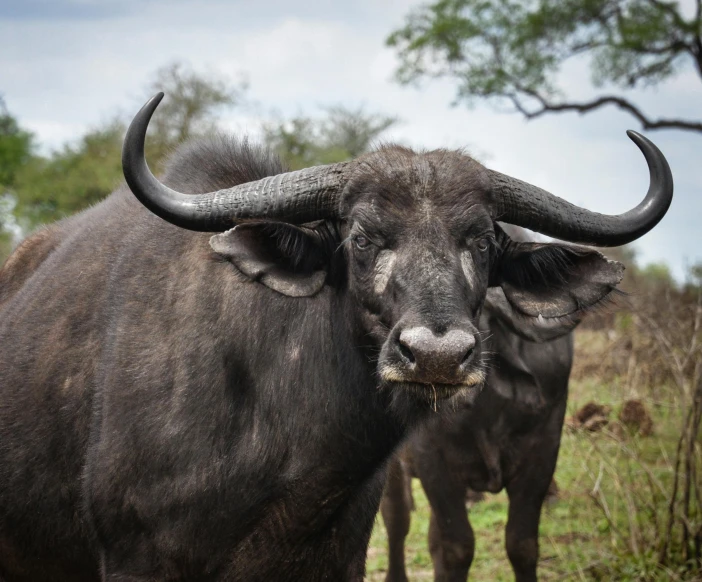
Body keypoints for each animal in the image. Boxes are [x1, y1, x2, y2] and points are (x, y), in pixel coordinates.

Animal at [382, 229, 580, 582]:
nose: (438, 362)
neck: (485, 414)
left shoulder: (543, 449)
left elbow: (522, 544)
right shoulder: (433, 459)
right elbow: (457, 547)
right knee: (397, 517)